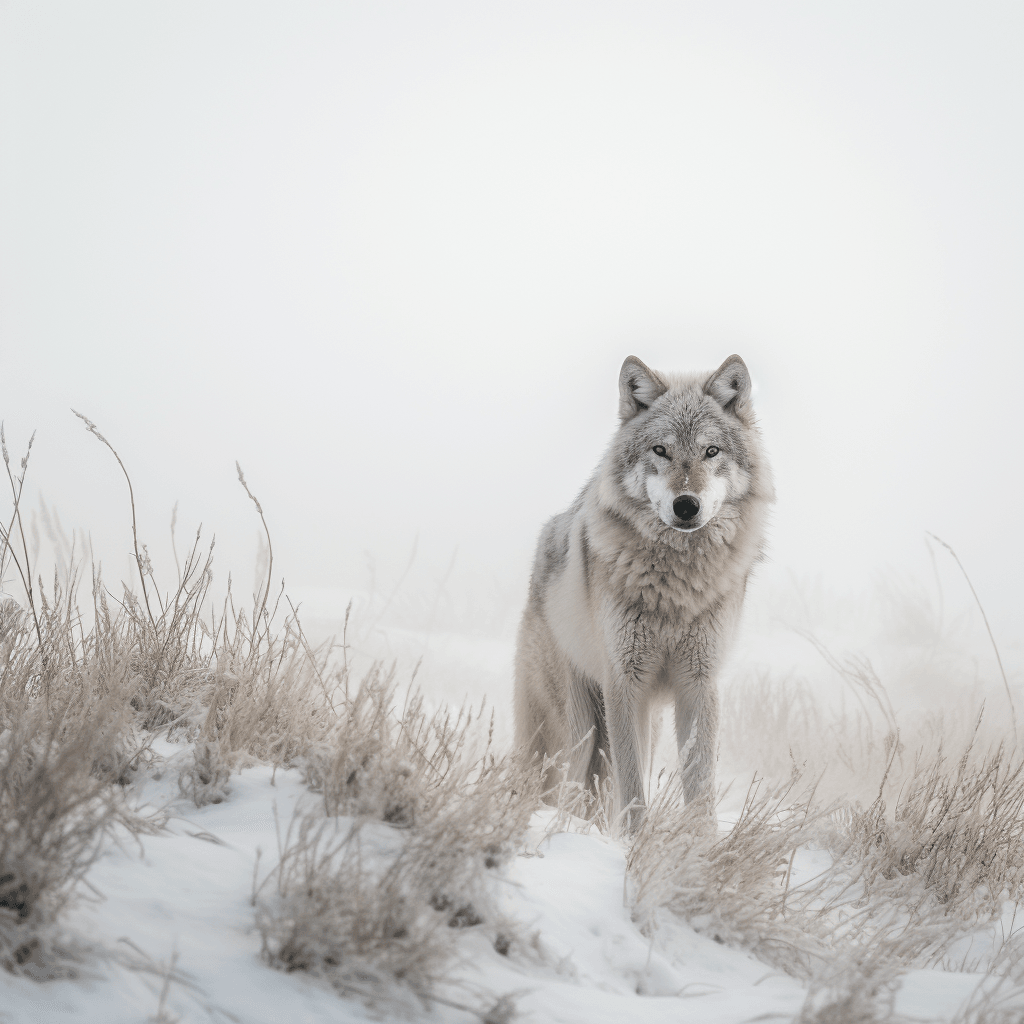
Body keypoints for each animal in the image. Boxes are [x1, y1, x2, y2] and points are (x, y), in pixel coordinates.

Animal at [516, 352, 770, 823]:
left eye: (711, 451)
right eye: (661, 450)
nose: (686, 505)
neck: (678, 586)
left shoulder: (699, 684)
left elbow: (700, 791)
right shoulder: (625, 684)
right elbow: (633, 791)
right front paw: (637, 841)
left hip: (638, 725)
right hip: (577, 730)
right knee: (566, 788)